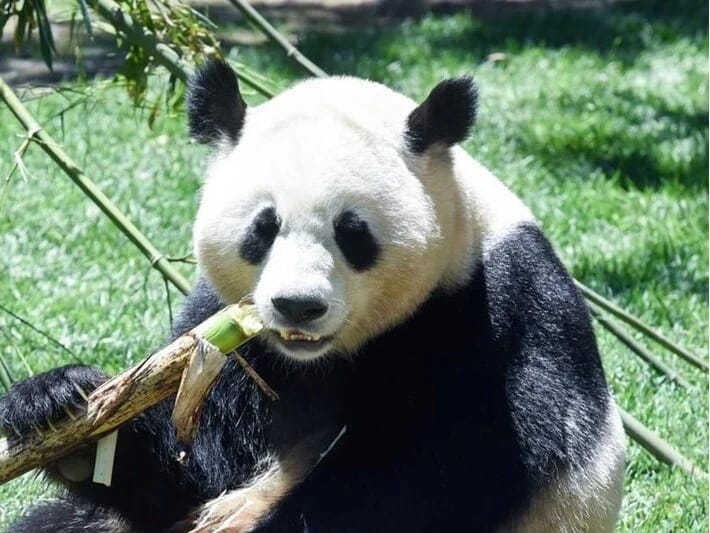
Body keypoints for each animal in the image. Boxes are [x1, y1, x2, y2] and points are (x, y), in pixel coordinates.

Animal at [1, 60, 625, 533]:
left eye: (353, 233)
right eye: (263, 227)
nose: (297, 306)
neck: (322, 357)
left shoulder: (487, 317)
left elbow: (427, 475)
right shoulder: (231, 339)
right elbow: (189, 468)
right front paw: (57, 402)